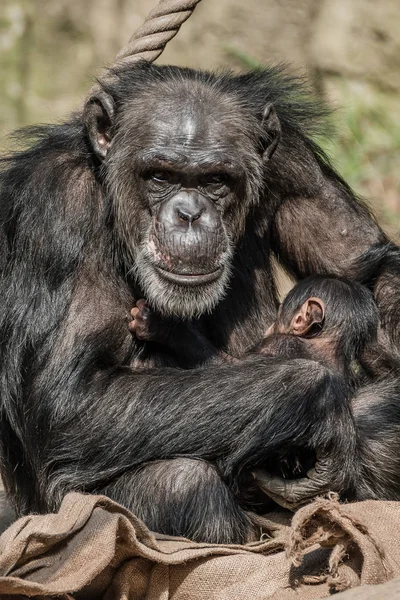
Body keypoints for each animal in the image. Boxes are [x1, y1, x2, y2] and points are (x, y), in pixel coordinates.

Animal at [0, 63, 400, 548]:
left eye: (215, 181)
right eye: (160, 176)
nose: (190, 215)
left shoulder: (292, 161)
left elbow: (367, 269)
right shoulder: (57, 206)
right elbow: (68, 398)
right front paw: (317, 404)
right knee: (184, 482)